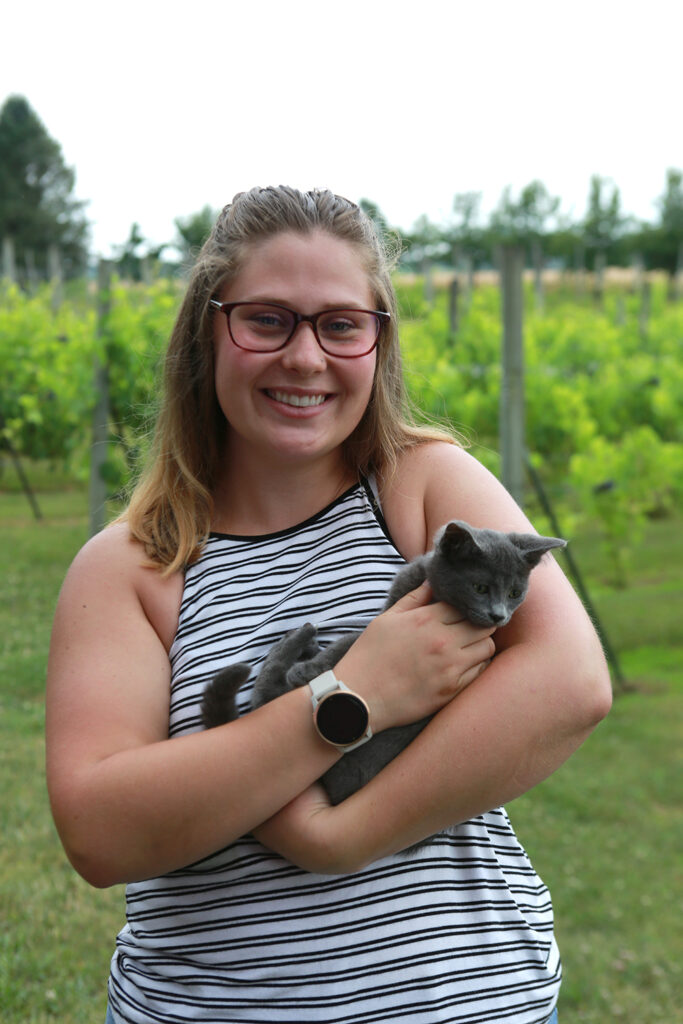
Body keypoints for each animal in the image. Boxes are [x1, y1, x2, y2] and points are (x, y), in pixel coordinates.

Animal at [201, 520, 566, 806]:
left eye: (515, 593)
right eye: (480, 587)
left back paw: (300, 643)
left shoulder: (386, 622)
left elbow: (351, 641)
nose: (498, 616)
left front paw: (308, 668)